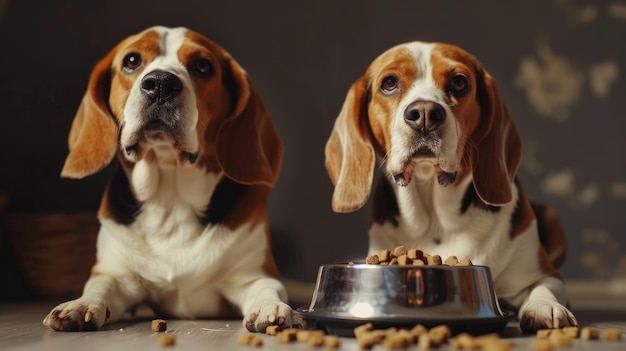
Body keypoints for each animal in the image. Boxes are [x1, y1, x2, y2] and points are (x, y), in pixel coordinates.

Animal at [44, 26, 292, 334]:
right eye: (132, 60)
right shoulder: (116, 275)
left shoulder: (254, 274)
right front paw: (79, 305)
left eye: (203, 66)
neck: (171, 203)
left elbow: (267, 287)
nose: (161, 83)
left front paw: (271, 308)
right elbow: (99, 286)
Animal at [326, 42, 576, 332]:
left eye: (459, 82)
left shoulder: (544, 274)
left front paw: (544, 307)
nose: (424, 113)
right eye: (389, 83)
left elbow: (543, 287)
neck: (437, 219)